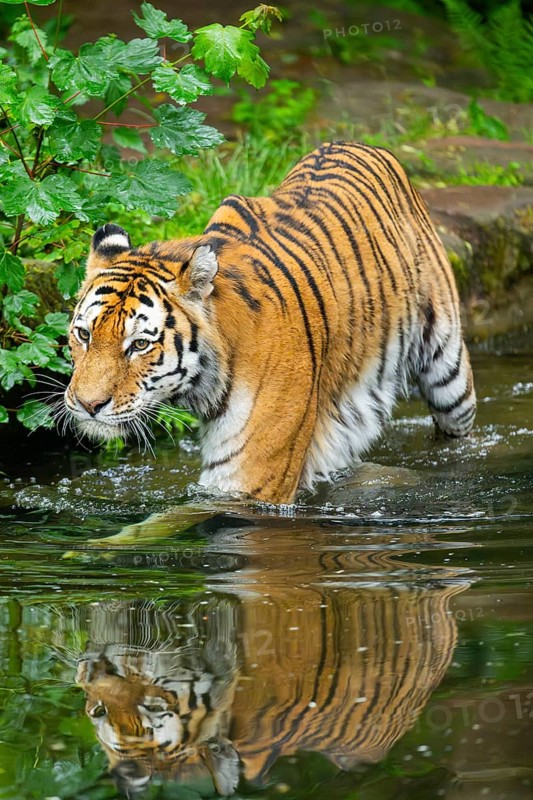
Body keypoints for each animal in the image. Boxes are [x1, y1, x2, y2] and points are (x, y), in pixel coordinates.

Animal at [64, 141, 476, 504]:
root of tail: (359, 144)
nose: (87, 405)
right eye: (83, 335)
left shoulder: (252, 479)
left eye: (139, 345)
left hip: (450, 380)